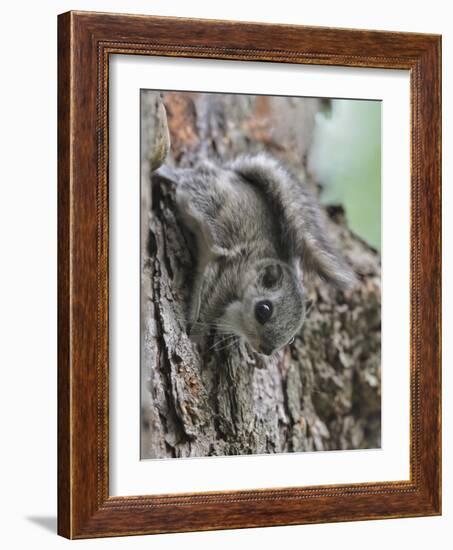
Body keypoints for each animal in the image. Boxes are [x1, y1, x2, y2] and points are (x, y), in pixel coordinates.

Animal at [156, 153, 356, 356]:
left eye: (292, 337)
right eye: (263, 310)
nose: (267, 351)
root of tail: (224, 172)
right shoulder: (226, 276)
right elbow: (206, 307)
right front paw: (195, 336)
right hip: (204, 197)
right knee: (186, 178)